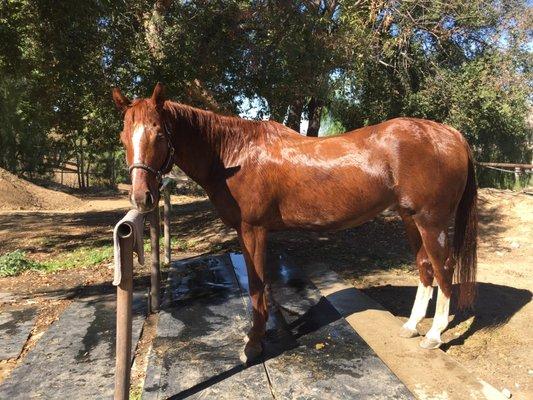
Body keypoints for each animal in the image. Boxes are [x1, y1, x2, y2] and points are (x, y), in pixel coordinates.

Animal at [111, 83, 474, 362]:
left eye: (159, 135)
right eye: (123, 137)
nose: (142, 198)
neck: (235, 156)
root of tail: (451, 134)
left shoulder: (253, 230)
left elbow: (257, 285)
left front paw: (254, 344)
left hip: (431, 222)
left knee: (444, 269)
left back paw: (435, 334)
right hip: (410, 219)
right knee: (425, 267)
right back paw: (411, 327)